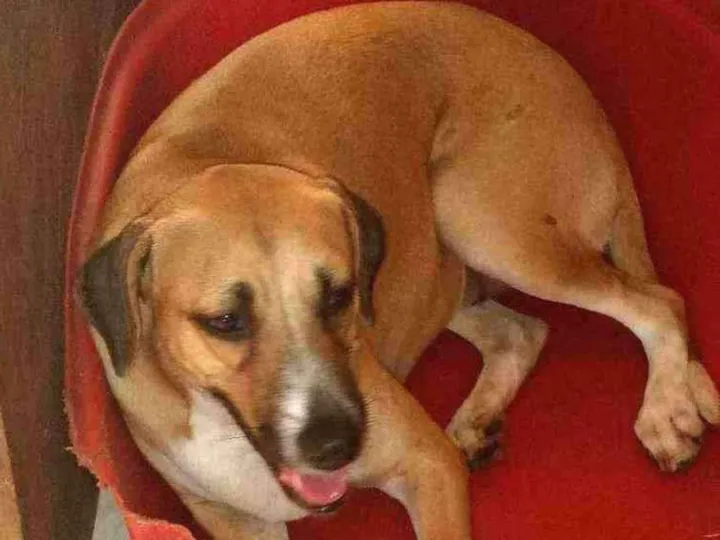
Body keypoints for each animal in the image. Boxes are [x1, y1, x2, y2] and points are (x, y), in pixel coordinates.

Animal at [78, 3, 720, 539]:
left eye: (337, 295)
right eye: (225, 321)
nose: (336, 446)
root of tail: (582, 92)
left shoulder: (426, 465)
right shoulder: (232, 522)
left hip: (476, 212)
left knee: (658, 302)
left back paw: (665, 412)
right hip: (448, 269)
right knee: (523, 330)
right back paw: (479, 420)